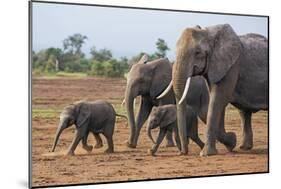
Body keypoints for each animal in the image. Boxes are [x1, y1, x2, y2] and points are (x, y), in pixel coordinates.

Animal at [158, 24, 266, 157]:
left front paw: (206, 154)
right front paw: (232, 141)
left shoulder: (231, 66)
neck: (208, 33)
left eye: (197, 53)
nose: (182, 152)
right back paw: (244, 147)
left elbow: (218, 100)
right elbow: (216, 102)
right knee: (244, 112)